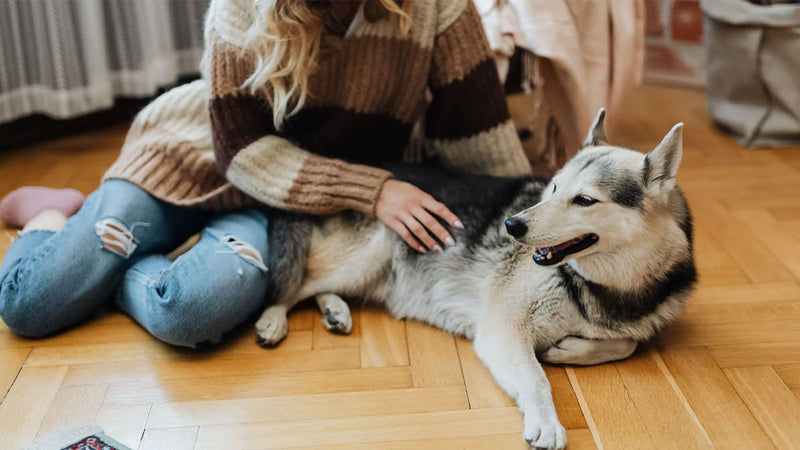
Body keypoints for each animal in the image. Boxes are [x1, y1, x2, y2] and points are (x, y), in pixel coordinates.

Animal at [255, 110, 692, 450]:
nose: (511, 225)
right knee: (295, 284)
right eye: (553, 188)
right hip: (367, 255)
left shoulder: (629, 323)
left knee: (318, 285)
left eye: (584, 200)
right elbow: (536, 379)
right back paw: (274, 319)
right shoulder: (503, 330)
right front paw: (547, 421)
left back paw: (335, 310)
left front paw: (569, 349)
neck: (603, 287)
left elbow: (627, 343)